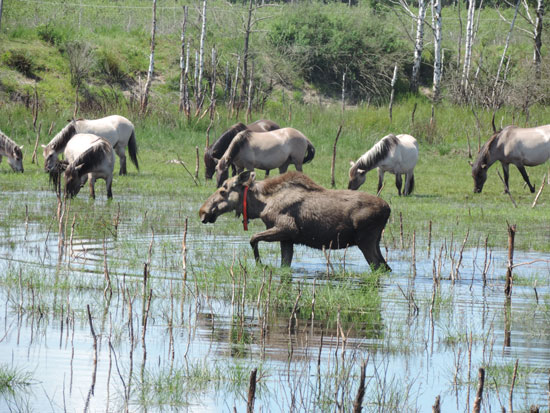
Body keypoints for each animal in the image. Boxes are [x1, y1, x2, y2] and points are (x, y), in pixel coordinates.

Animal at [199, 171, 392, 270]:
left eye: (223, 190)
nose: (203, 211)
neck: (261, 205)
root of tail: (388, 209)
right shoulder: (287, 239)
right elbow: (285, 264)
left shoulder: (287, 228)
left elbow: (253, 238)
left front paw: (260, 264)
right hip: (374, 241)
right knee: (385, 267)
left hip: (365, 240)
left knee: (379, 267)